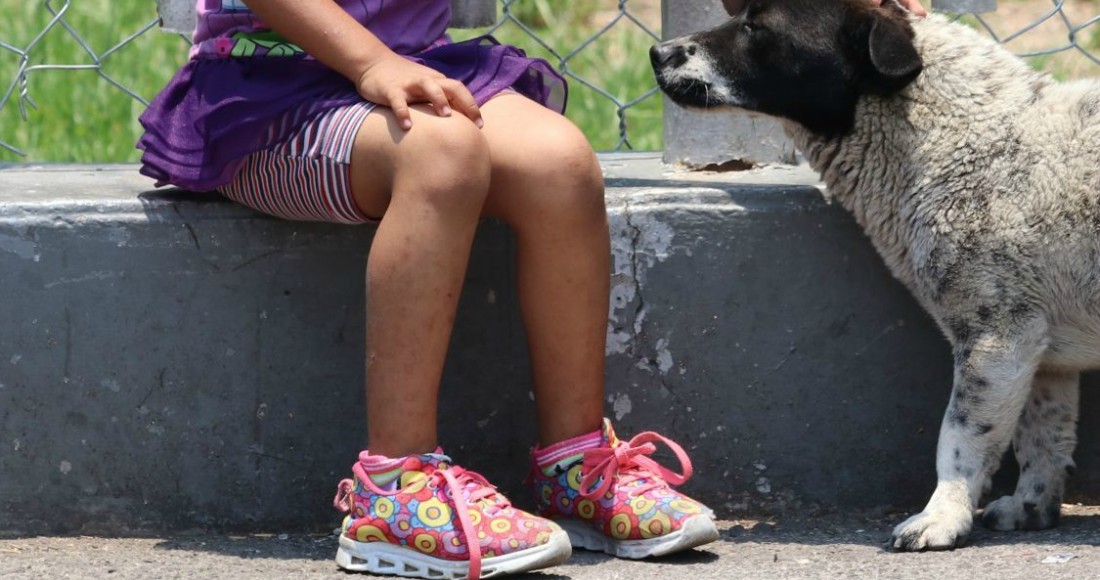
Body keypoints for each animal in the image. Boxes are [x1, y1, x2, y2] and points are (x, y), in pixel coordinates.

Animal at [651, 0, 1100, 554]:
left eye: (756, 25)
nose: (658, 53)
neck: (967, 136)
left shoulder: (997, 338)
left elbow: (962, 437)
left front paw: (942, 517)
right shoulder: (1044, 352)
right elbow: (1043, 436)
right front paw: (1031, 507)